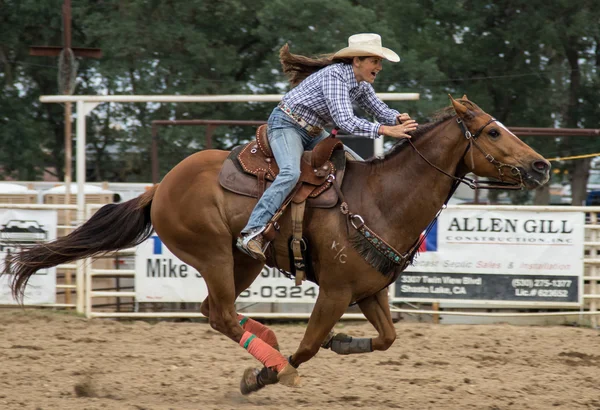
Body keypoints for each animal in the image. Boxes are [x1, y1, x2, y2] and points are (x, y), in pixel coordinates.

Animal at [3, 96, 548, 394]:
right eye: (493, 131)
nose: (542, 165)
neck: (380, 198)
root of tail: (160, 186)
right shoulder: (334, 292)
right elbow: (307, 349)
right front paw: (266, 377)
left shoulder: (370, 290)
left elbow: (388, 338)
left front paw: (341, 342)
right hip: (214, 255)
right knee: (222, 315)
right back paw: (269, 362)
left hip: (242, 261)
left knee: (212, 311)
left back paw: (266, 341)